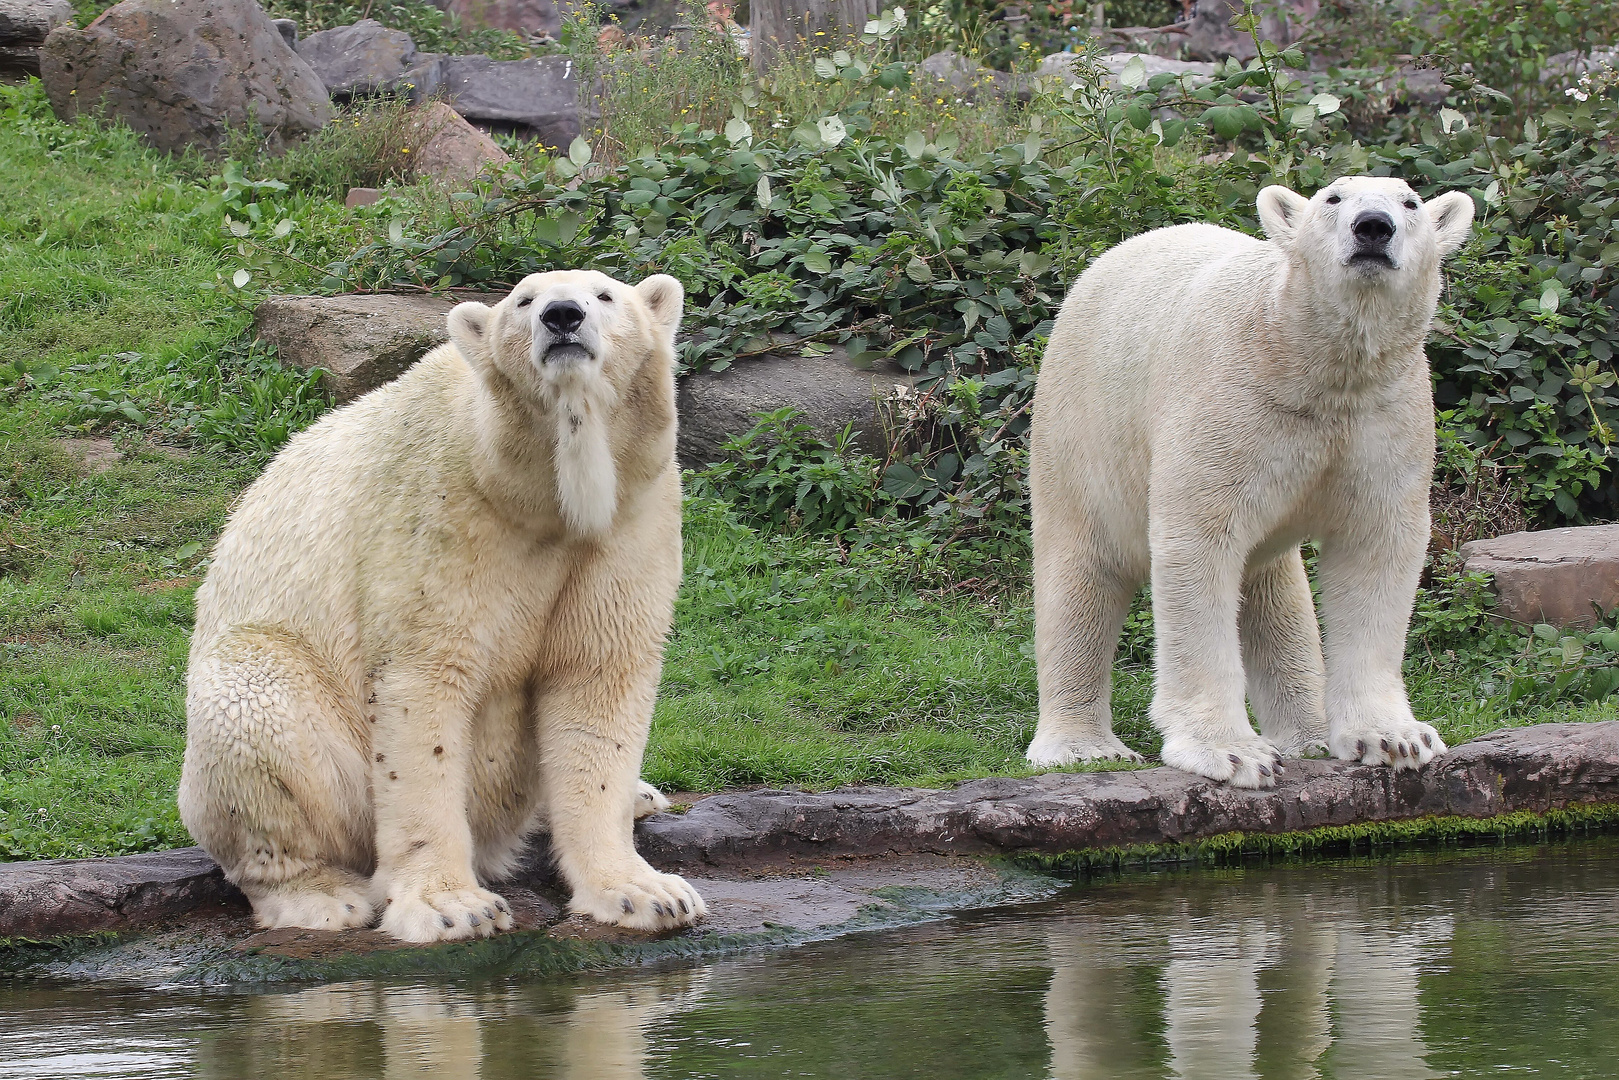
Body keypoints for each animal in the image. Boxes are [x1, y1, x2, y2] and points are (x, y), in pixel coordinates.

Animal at [180, 268, 705, 939]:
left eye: (605, 295)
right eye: (524, 300)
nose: (562, 315)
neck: (542, 494)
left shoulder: (629, 517)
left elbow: (597, 678)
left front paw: (649, 894)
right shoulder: (442, 512)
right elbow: (424, 685)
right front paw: (453, 906)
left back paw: (641, 795)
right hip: (275, 699)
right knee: (257, 711)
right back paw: (319, 896)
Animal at [1029, 175, 1476, 786]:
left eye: (1409, 203)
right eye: (1333, 199)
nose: (1373, 227)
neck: (1311, 365)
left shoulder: (1382, 419)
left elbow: (1375, 548)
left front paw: (1395, 738)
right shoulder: (1231, 407)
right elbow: (1199, 545)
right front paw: (1232, 752)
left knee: (1273, 589)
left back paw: (1308, 735)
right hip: (1083, 427)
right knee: (1082, 569)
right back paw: (1084, 747)